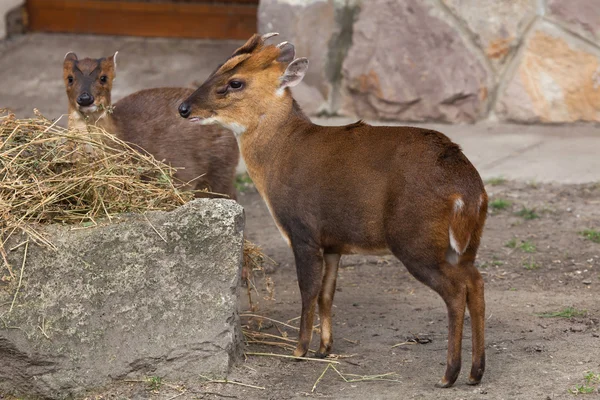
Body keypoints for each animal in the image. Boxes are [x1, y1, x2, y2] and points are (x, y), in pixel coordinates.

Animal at [178, 33, 488, 388]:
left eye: (235, 82)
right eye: (217, 69)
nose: (184, 108)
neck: (279, 154)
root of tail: (467, 188)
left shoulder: (302, 231)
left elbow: (308, 291)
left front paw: (299, 350)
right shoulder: (334, 244)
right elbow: (327, 293)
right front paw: (325, 348)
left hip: (415, 240)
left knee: (456, 291)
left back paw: (449, 374)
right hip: (464, 246)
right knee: (476, 282)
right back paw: (475, 372)